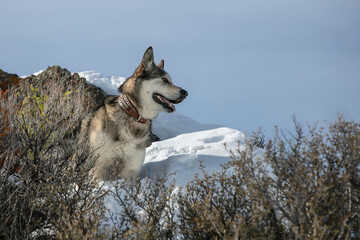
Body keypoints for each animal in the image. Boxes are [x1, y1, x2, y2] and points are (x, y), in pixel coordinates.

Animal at [80, 47, 188, 182]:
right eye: (164, 80)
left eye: (170, 81)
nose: (185, 93)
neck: (133, 116)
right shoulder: (100, 169)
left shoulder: (131, 171)